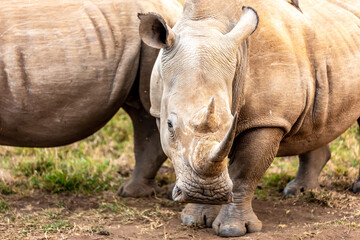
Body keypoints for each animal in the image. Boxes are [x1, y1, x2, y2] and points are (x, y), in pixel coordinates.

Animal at [139, 0, 360, 236]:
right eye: (170, 125)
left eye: (232, 124)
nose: (205, 192)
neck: (206, 24)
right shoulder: (158, 107)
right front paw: (194, 219)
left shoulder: (267, 120)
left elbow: (244, 172)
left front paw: (232, 229)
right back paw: (297, 191)